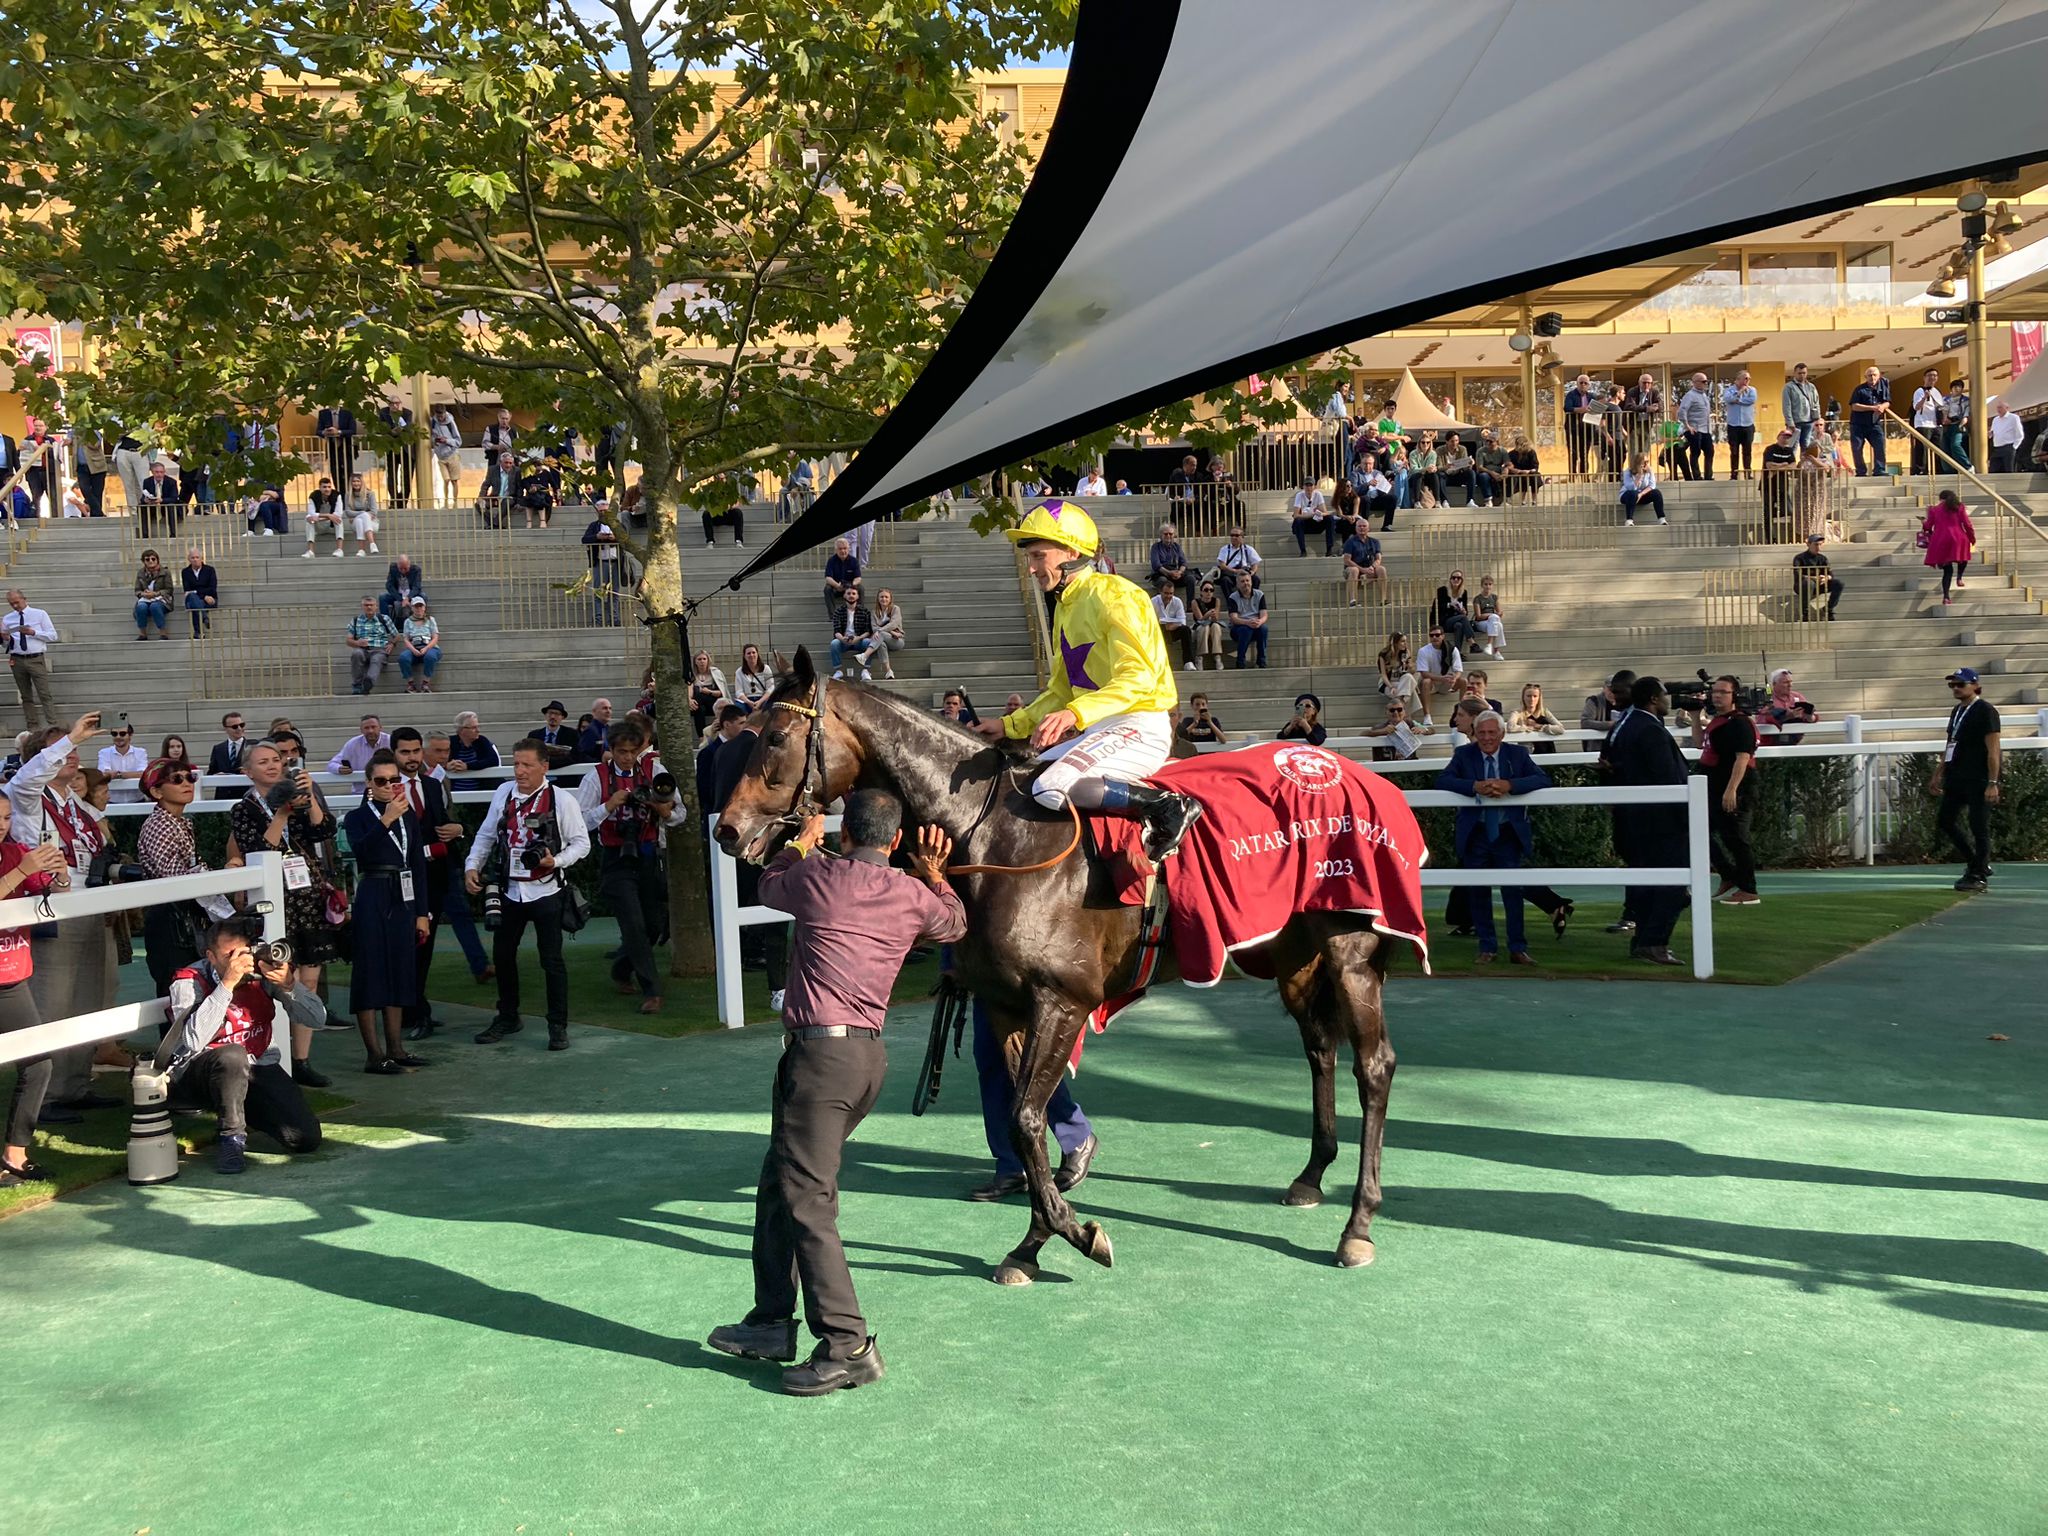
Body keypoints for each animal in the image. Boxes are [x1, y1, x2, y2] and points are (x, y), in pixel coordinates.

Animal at [712, 651, 1400, 1286]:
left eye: (774, 737)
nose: (727, 831)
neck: (996, 836)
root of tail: (1356, 772)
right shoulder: (1005, 1004)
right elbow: (1027, 1121)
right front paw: (1033, 1244)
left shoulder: (1062, 1000)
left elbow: (1024, 1116)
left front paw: (1075, 1233)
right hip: (1291, 957)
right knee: (1319, 1048)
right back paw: (1311, 1175)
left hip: (1350, 951)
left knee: (1374, 1066)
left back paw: (1358, 1225)